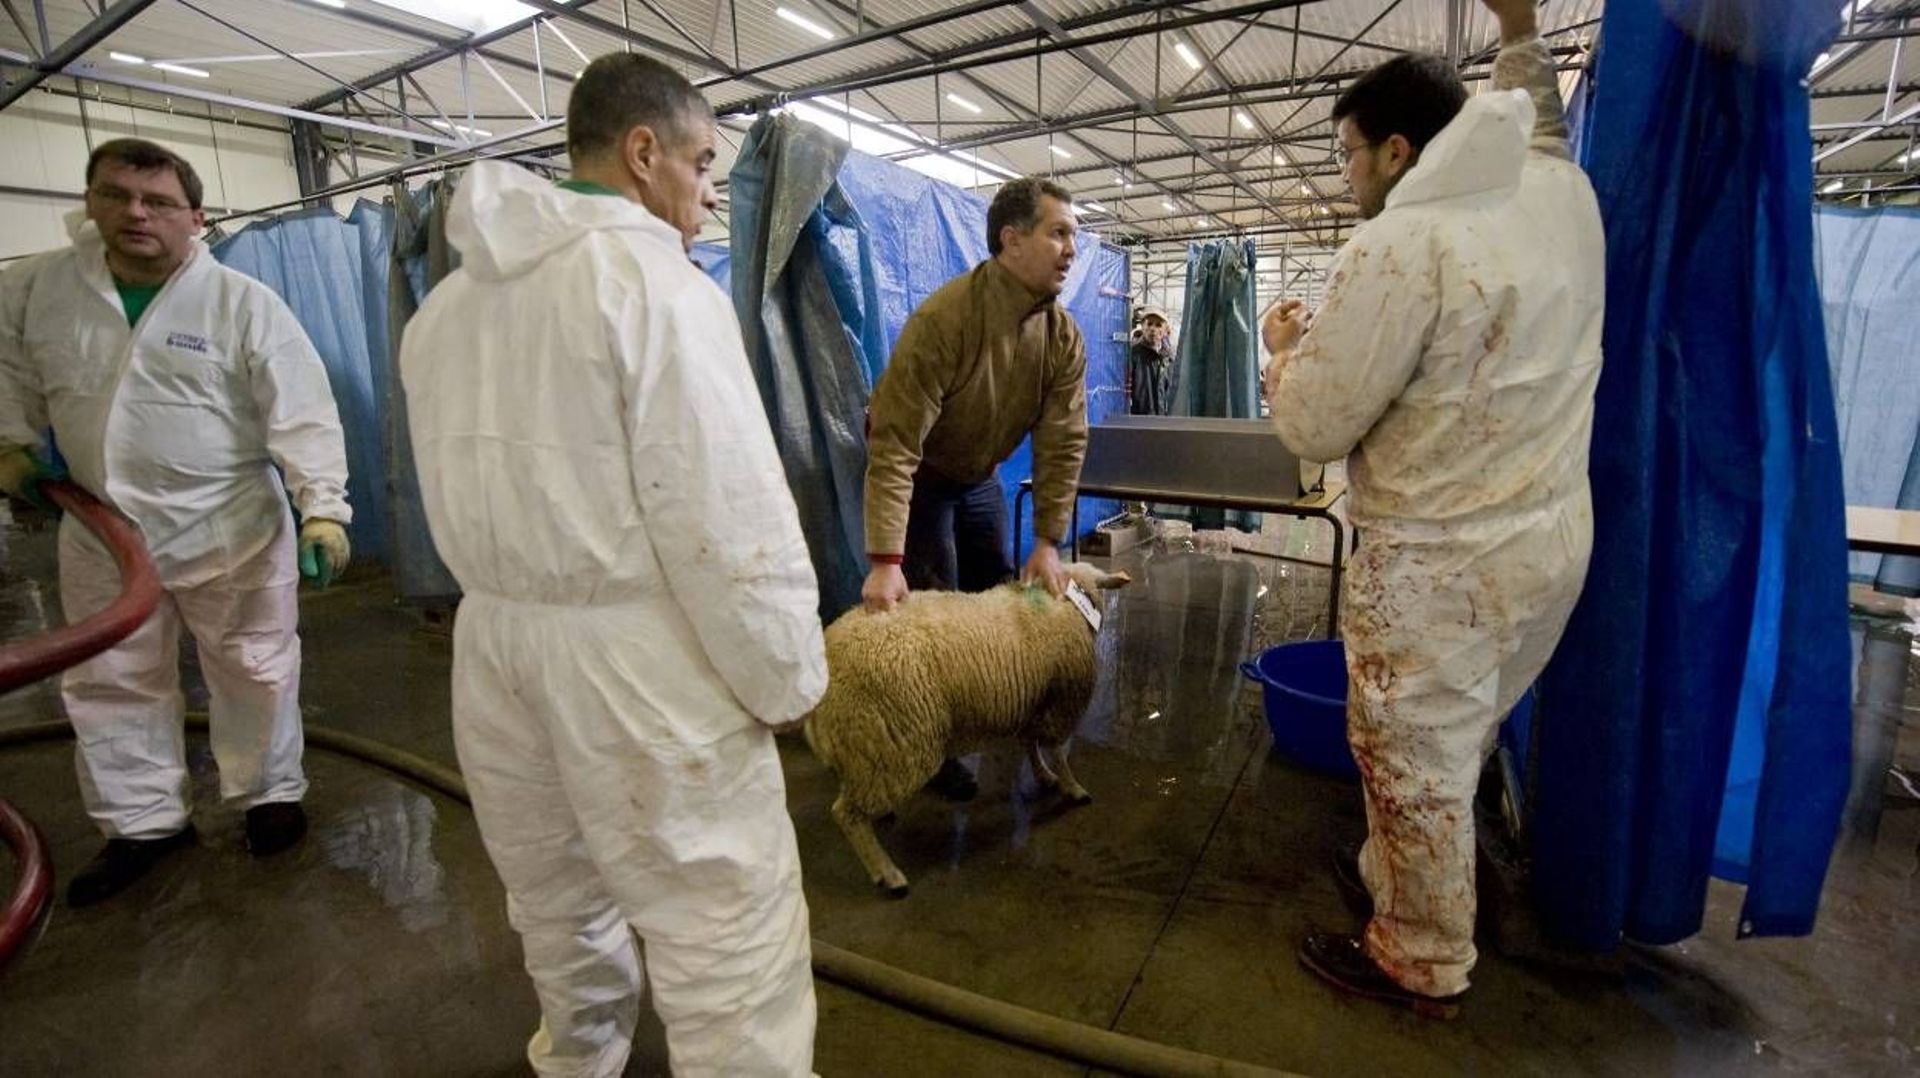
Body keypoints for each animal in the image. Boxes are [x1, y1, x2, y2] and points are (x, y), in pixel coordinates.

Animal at [802, 557, 1128, 895]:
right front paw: (1073, 787)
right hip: (894, 744)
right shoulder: (1061, 704)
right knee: (846, 814)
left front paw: (1043, 774)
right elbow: (1058, 753)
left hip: (862, 745)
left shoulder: (1036, 703)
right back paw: (887, 873)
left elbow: (1031, 744)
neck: (1066, 602)